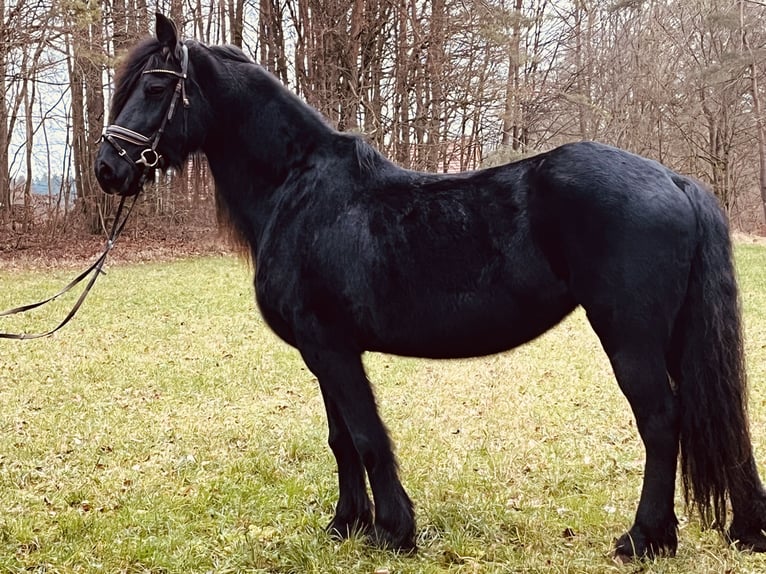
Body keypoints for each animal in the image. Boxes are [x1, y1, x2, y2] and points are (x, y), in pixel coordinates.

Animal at [96, 13, 766, 564]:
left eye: (154, 87)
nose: (107, 169)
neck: (298, 189)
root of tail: (676, 180)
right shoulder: (321, 352)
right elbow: (341, 439)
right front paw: (346, 526)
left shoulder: (331, 347)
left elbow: (367, 436)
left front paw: (394, 531)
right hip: (675, 337)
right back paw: (741, 529)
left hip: (631, 338)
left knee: (661, 420)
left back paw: (644, 539)